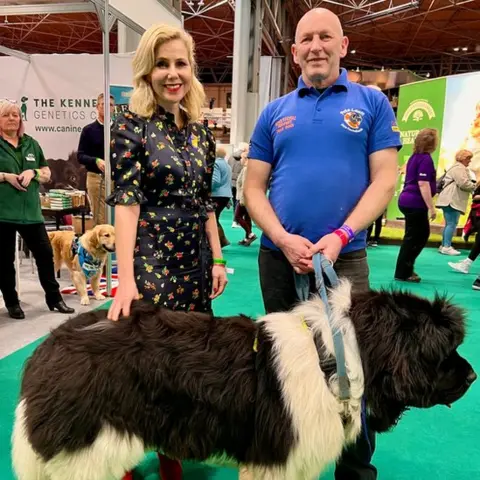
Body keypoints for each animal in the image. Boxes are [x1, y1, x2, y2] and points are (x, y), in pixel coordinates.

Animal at [12, 280, 476, 478]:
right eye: (442, 350)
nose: (473, 374)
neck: (335, 360)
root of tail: (48, 346)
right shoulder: (276, 460)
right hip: (87, 448)